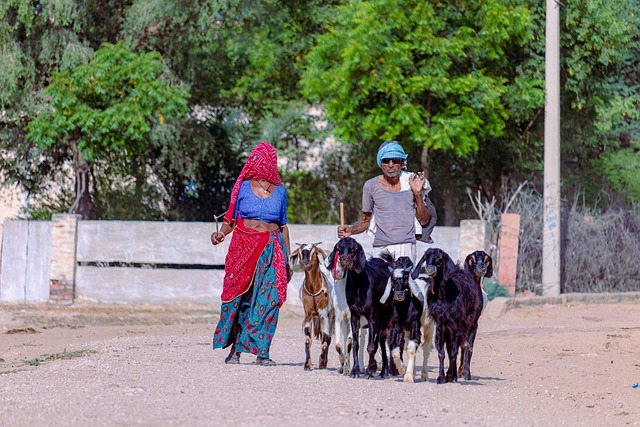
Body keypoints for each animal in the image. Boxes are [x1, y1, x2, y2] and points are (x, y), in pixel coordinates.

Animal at [290, 244, 336, 372]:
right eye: (300, 252)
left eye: (314, 252)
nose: (305, 263)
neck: (314, 289)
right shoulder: (308, 314)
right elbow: (307, 339)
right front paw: (307, 365)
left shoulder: (324, 314)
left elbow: (325, 339)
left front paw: (322, 361)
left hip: (332, 315)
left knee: (328, 337)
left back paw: (324, 361)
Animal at [324, 239, 396, 380]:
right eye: (338, 247)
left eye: (354, 248)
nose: (344, 260)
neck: (357, 284)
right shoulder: (349, 317)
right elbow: (348, 344)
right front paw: (351, 369)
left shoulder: (370, 316)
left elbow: (369, 346)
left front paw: (368, 369)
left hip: (384, 319)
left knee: (381, 342)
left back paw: (383, 370)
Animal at [416, 247, 480, 384]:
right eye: (426, 257)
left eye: (440, 258)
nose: (430, 268)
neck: (445, 295)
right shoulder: (441, 323)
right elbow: (442, 352)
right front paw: (441, 377)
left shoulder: (456, 323)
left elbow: (454, 352)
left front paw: (452, 376)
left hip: (469, 323)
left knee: (463, 347)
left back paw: (456, 374)